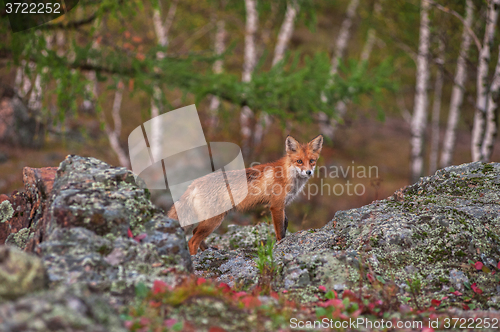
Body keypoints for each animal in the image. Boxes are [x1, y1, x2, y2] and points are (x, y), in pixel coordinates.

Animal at [168, 135, 324, 254]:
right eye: (299, 161)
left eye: (312, 161)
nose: (309, 172)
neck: (287, 175)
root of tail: (194, 183)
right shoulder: (276, 206)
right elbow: (280, 232)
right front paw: (281, 246)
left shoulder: (283, 205)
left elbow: (285, 224)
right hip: (214, 220)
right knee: (192, 241)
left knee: (195, 232)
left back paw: (208, 250)